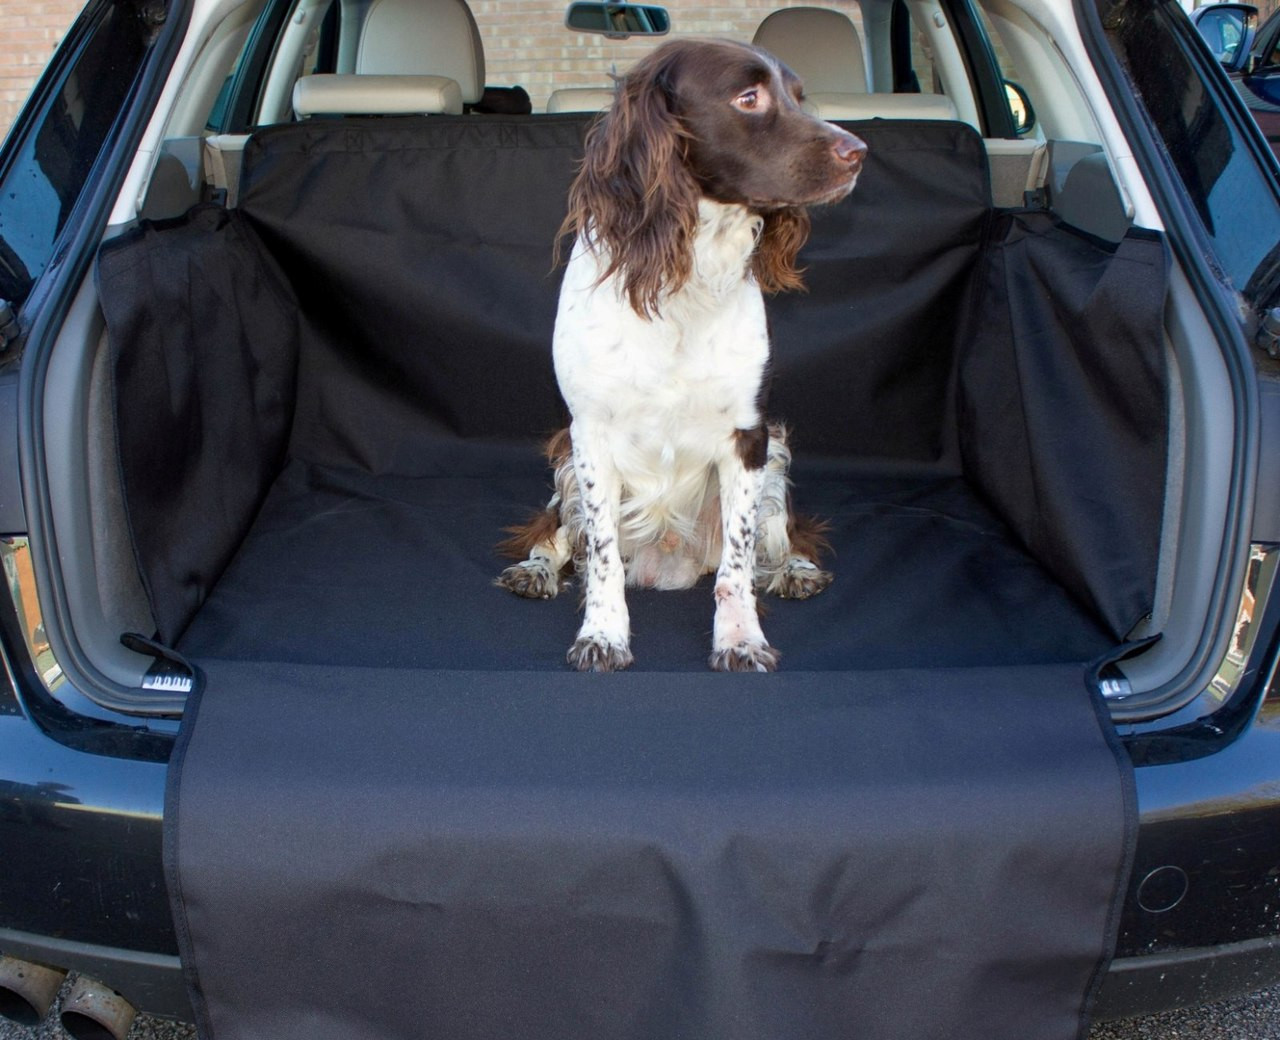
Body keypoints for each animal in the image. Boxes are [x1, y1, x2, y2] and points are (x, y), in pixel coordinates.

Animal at [494, 38, 865, 676]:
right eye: (749, 97)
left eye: (799, 96)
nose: (859, 152)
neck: (681, 274)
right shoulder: (589, 432)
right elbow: (601, 557)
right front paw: (603, 635)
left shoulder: (748, 435)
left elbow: (738, 564)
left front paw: (739, 638)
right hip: (564, 456)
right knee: (558, 533)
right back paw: (535, 569)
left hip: (778, 451)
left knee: (780, 536)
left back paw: (796, 570)